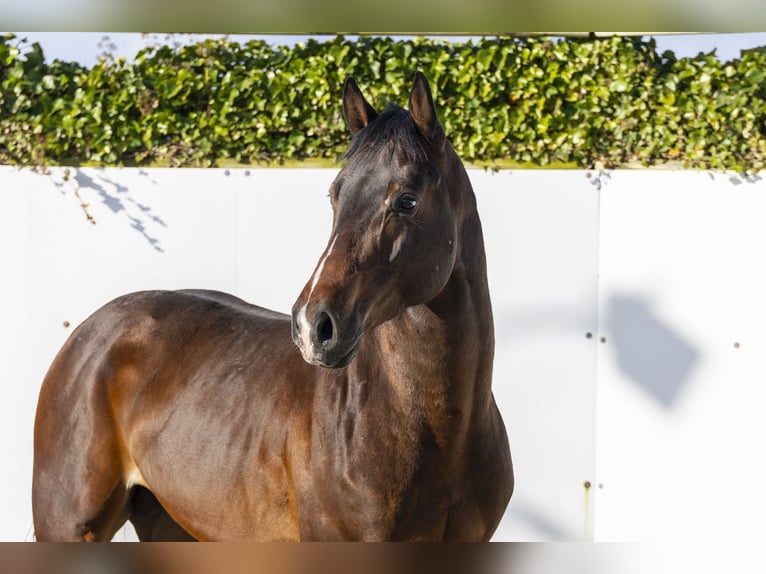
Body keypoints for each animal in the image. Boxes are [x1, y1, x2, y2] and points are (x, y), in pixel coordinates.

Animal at [32, 72, 514, 541]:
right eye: (335, 195)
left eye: (407, 200)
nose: (313, 326)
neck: (436, 433)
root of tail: (87, 332)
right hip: (69, 528)